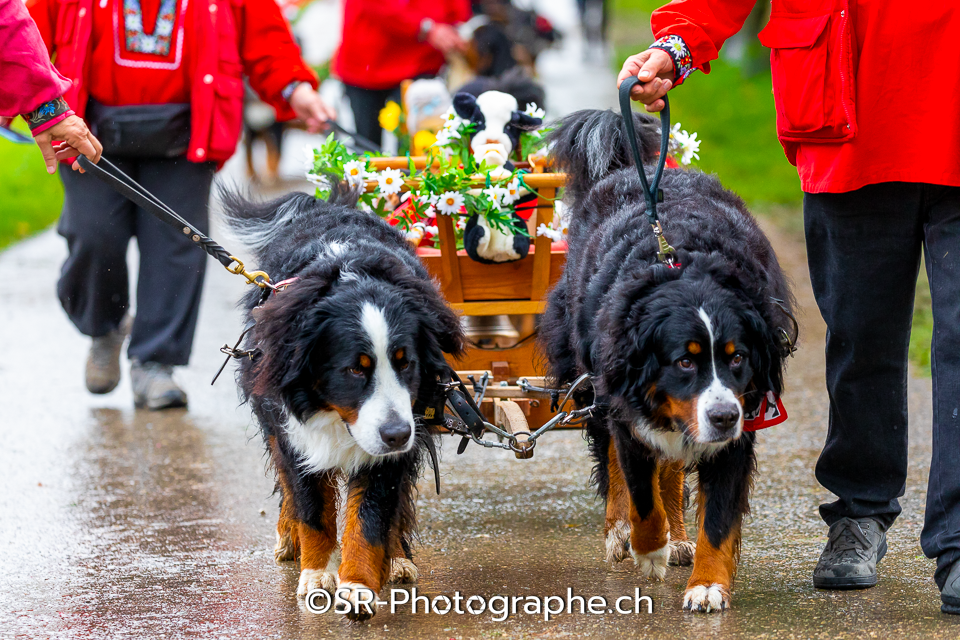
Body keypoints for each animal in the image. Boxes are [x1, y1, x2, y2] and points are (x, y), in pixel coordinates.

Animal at [222, 185, 464, 620]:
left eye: (406, 362)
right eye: (354, 369)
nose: (396, 434)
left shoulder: (399, 441)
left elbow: (369, 518)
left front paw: (358, 585)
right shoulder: (292, 431)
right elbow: (311, 509)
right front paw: (316, 576)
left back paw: (398, 558)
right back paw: (289, 539)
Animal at [541, 109, 795, 612]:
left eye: (738, 359)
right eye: (684, 362)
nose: (723, 416)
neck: (686, 272)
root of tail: (625, 168)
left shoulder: (739, 425)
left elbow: (716, 516)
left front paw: (707, 584)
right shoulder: (627, 407)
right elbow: (640, 492)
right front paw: (648, 547)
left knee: (673, 469)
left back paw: (678, 537)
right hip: (594, 386)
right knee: (618, 464)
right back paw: (622, 531)